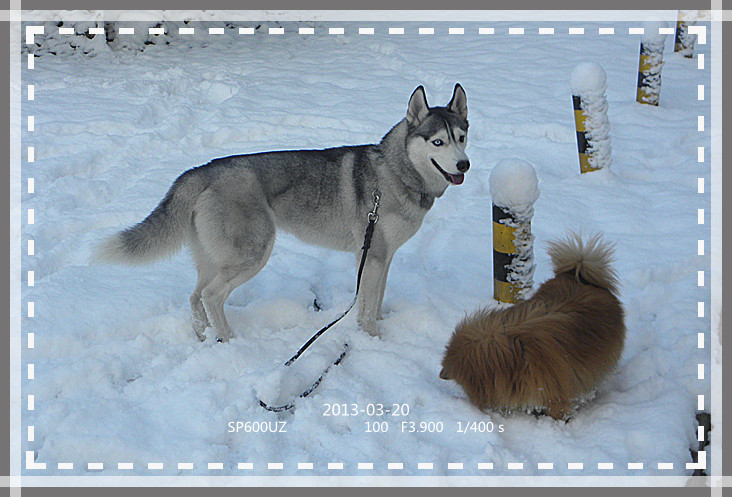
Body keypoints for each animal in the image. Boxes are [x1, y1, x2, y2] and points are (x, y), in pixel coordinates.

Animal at [93, 84, 468, 340]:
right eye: (438, 142)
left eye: (462, 137)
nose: (464, 164)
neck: (395, 171)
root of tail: (202, 170)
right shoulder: (373, 255)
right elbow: (365, 309)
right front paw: (372, 339)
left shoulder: (382, 256)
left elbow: (375, 300)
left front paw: (379, 328)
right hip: (254, 253)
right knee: (212, 296)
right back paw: (229, 341)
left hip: (215, 257)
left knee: (195, 296)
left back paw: (204, 337)